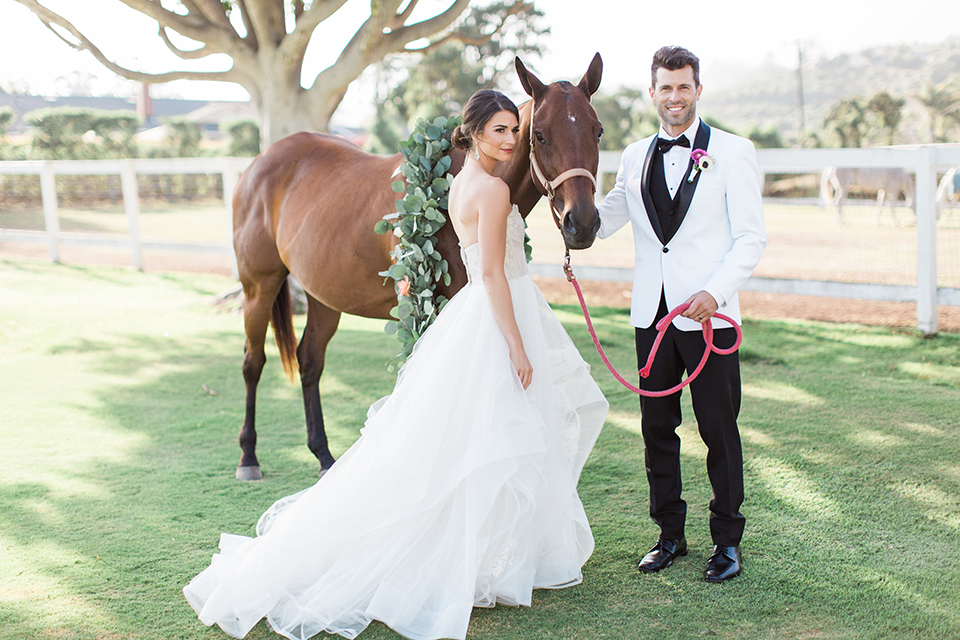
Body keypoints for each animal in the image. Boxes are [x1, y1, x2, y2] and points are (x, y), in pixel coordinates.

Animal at [233, 55, 604, 480]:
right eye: (540, 135)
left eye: (597, 132)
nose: (583, 223)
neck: (458, 180)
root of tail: (259, 163)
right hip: (258, 287)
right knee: (253, 362)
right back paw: (248, 456)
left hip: (323, 296)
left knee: (310, 363)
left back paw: (324, 456)